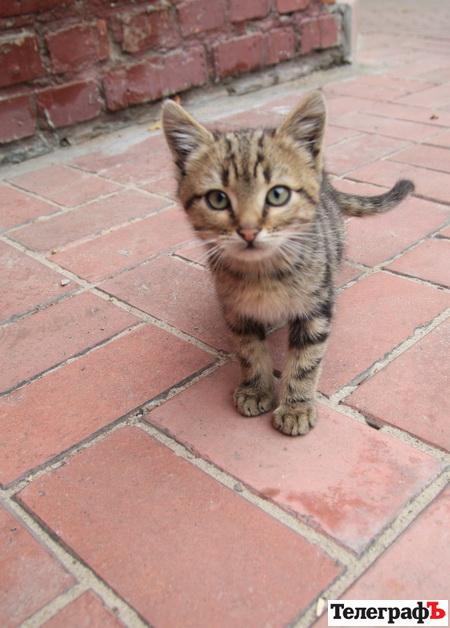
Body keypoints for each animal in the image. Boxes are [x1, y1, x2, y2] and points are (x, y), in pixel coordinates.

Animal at [162, 91, 414, 436]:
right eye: (217, 199)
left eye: (277, 194)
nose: (248, 231)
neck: (263, 274)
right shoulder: (236, 311)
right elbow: (250, 351)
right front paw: (256, 388)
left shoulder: (316, 308)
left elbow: (306, 359)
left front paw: (296, 406)